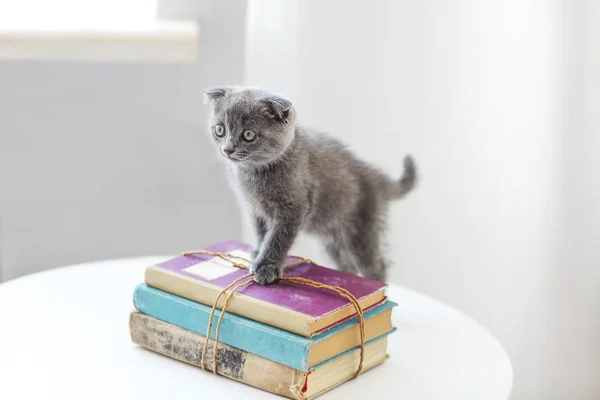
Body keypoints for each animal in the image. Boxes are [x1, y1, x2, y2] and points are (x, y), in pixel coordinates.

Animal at [204, 86, 414, 284]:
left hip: (362, 230)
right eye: (220, 130)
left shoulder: (294, 208)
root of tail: (375, 174)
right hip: (331, 238)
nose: (227, 149)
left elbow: (278, 238)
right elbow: (261, 232)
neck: (252, 174)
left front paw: (266, 266)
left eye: (249, 134)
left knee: (375, 264)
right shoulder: (254, 208)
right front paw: (258, 252)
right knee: (346, 264)